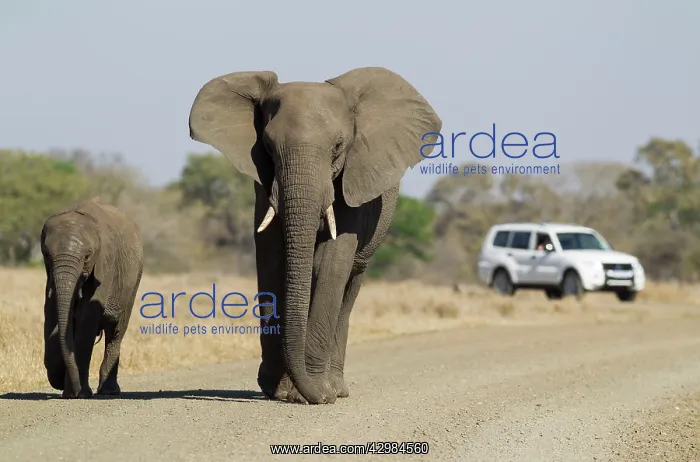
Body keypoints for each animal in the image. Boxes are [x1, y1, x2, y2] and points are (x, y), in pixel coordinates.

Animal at [41, 197, 143, 398]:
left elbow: (86, 318)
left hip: (133, 281)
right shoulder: (50, 276)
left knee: (116, 331)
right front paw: (64, 383)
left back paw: (109, 391)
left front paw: (79, 393)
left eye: (87, 257)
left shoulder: (104, 264)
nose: (73, 390)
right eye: (47, 255)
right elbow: (51, 312)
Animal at [188, 66, 442, 404]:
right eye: (268, 147)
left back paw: (335, 388)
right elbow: (272, 261)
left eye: (338, 146)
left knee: (349, 288)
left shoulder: (352, 185)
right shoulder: (264, 185)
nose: (319, 398)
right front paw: (281, 391)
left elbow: (329, 265)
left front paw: (311, 393)